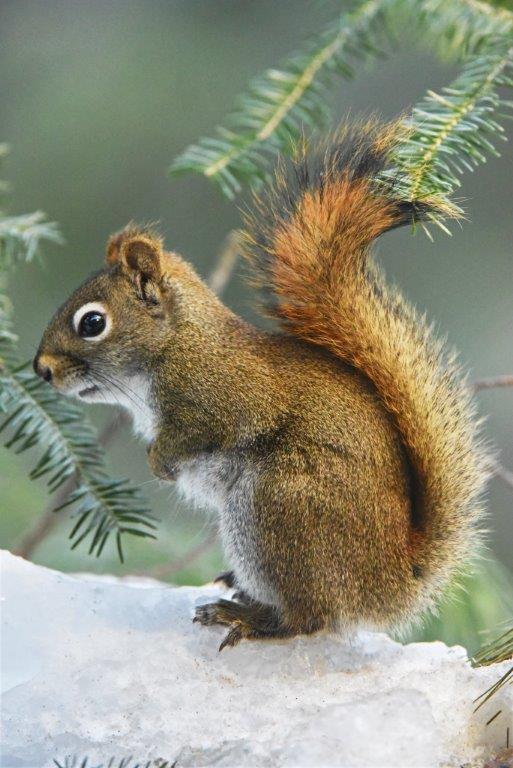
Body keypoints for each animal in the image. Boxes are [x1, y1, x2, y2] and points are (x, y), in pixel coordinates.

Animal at [34, 119, 489, 650]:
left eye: (92, 323)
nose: (40, 369)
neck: (176, 346)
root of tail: (389, 582)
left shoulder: (228, 396)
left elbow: (203, 432)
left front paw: (160, 461)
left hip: (277, 508)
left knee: (309, 618)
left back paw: (249, 618)